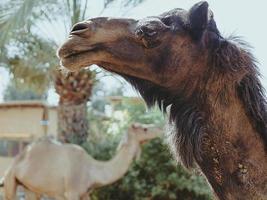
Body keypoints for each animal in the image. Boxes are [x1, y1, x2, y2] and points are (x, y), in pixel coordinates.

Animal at [1, 122, 163, 199]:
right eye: (144, 129)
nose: (160, 128)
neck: (92, 169)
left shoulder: (85, 193)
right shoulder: (72, 193)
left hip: (31, 189)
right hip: (10, 182)